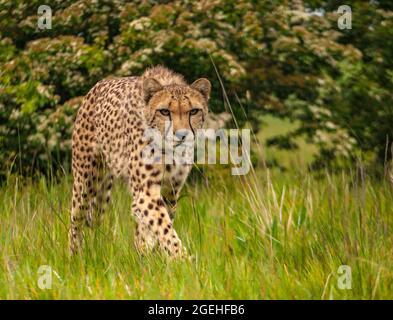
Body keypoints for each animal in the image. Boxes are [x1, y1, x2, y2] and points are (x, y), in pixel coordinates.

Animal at [70, 66, 211, 258]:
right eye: (164, 111)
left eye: (194, 111)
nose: (182, 135)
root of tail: (98, 84)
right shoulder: (146, 191)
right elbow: (164, 227)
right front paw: (182, 258)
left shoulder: (170, 192)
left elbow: (158, 226)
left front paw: (151, 253)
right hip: (86, 180)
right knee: (75, 218)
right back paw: (75, 256)